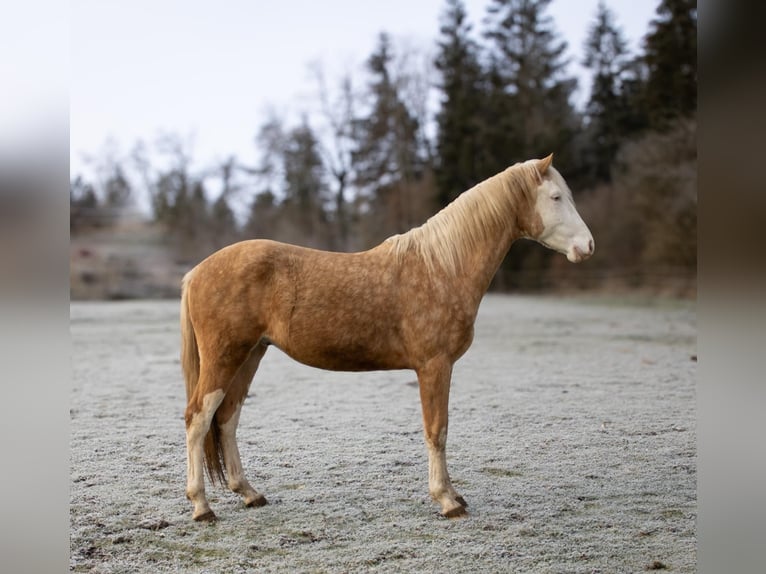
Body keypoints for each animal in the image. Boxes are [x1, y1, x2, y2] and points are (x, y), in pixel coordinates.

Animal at [180, 155, 592, 524]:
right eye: (556, 197)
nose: (587, 246)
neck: (441, 267)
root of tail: (196, 272)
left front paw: (454, 494)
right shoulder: (434, 366)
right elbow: (437, 430)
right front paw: (447, 501)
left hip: (249, 356)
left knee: (227, 419)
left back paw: (249, 493)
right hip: (225, 358)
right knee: (198, 419)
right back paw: (202, 507)